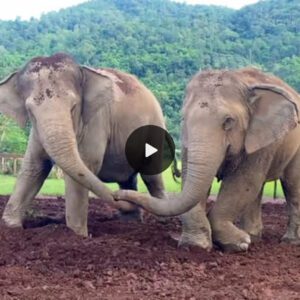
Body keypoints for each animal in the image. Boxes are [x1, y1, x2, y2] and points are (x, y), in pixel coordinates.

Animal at [0, 53, 166, 237]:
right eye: (30, 111)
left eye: (73, 107)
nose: (116, 196)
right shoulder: (36, 133)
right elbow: (34, 167)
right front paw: (11, 226)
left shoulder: (95, 122)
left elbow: (83, 169)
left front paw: (78, 235)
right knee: (128, 180)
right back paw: (130, 221)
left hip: (155, 127)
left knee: (151, 177)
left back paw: (161, 222)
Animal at [116, 67, 300, 251]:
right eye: (183, 119)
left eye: (228, 121)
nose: (117, 196)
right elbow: (192, 178)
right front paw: (195, 246)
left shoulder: (261, 141)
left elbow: (243, 182)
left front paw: (239, 244)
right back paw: (254, 237)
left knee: (291, 185)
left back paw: (289, 241)